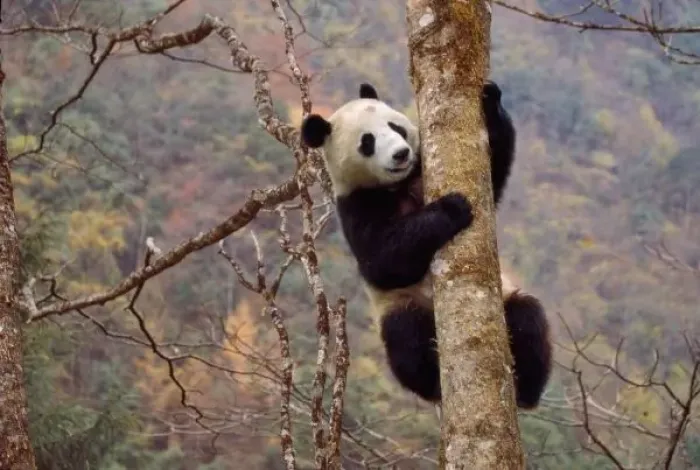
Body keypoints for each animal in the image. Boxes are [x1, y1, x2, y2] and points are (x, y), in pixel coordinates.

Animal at [301, 82, 551, 409]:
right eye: (367, 142)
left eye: (395, 126)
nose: (400, 154)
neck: (399, 183)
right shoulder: (356, 204)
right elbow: (383, 260)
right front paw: (452, 207)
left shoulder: (422, 169)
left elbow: (493, 177)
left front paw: (490, 101)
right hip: (402, 304)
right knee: (406, 336)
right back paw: (435, 383)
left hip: (506, 297)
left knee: (528, 317)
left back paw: (525, 388)